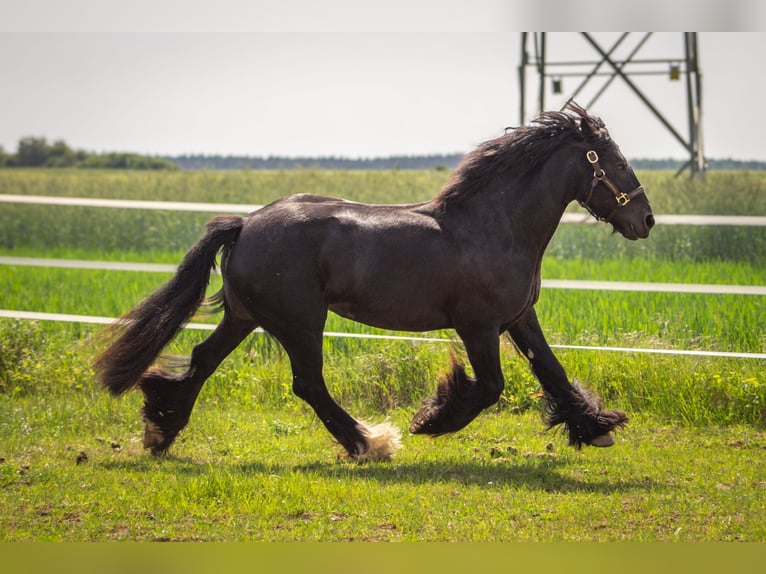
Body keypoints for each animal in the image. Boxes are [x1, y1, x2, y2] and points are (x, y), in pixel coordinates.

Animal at [94, 103, 654, 461]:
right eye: (617, 162)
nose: (646, 220)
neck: (494, 226)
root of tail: (245, 224)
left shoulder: (519, 317)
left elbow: (553, 371)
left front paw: (596, 429)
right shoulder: (477, 326)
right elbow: (491, 386)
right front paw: (432, 419)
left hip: (246, 316)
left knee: (203, 360)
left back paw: (161, 429)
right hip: (300, 321)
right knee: (307, 383)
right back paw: (370, 443)